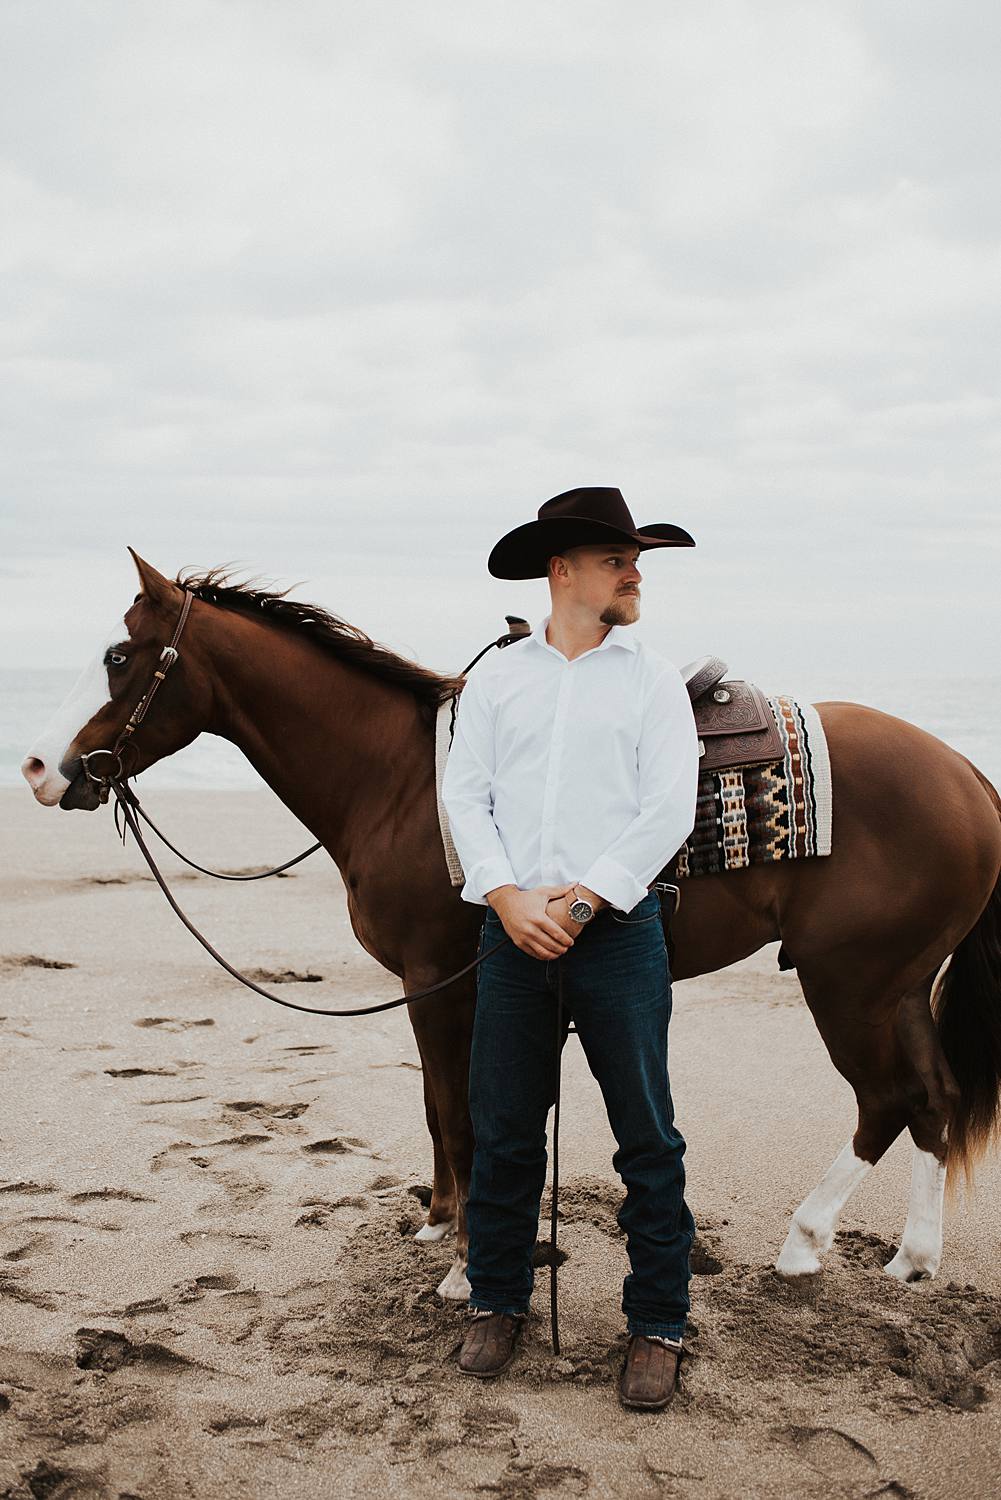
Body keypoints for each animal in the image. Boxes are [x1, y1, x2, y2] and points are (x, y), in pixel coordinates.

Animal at [19, 552, 1001, 1302]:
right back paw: (910, 1259)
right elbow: (437, 1107)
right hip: (896, 986)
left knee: (887, 1100)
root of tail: (965, 774)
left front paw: (462, 1267)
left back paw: (803, 1242)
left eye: (118, 654)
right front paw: (439, 1225)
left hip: (850, 985)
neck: (399, 778)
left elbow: (460, 1116)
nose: (36, 766)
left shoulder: (439, 982)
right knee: (932, 1099)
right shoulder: (445, 989)